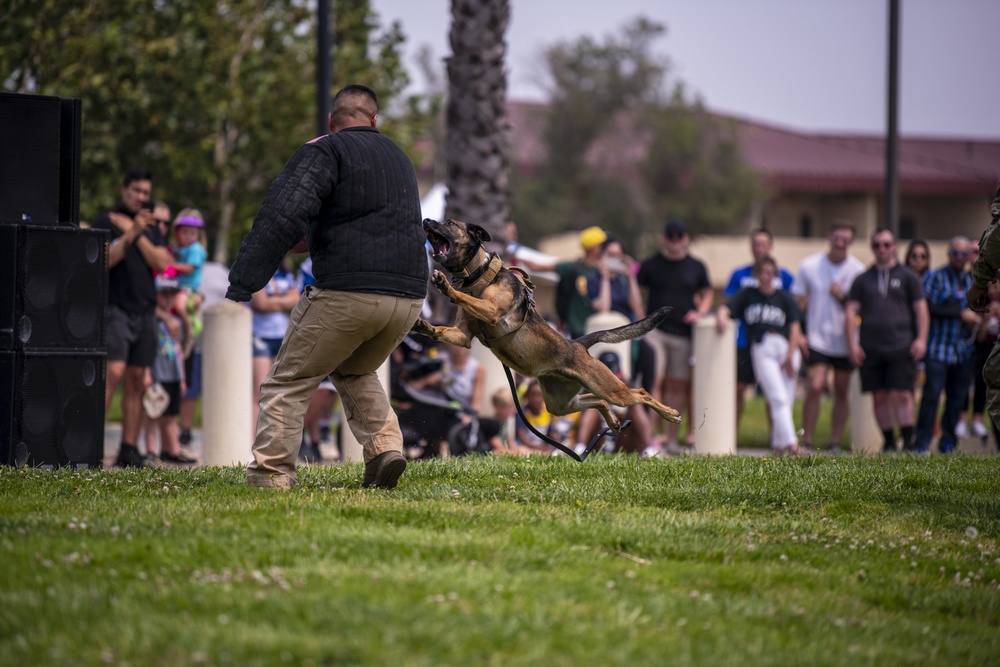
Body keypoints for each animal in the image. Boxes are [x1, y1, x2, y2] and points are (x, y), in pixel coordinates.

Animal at [410, 219, 684, 434]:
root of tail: (577, 344)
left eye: (449, 223)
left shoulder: (491, 311)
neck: (479, 275)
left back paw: (670, 413)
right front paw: (422, 326)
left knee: (640, 392)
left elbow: (463, 296)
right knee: (598, 401)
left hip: (611, 389)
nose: (425, 220)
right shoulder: (463, 336)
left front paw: (447, 287)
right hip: (560, 404)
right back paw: (614, 421)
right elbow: (443, 331)